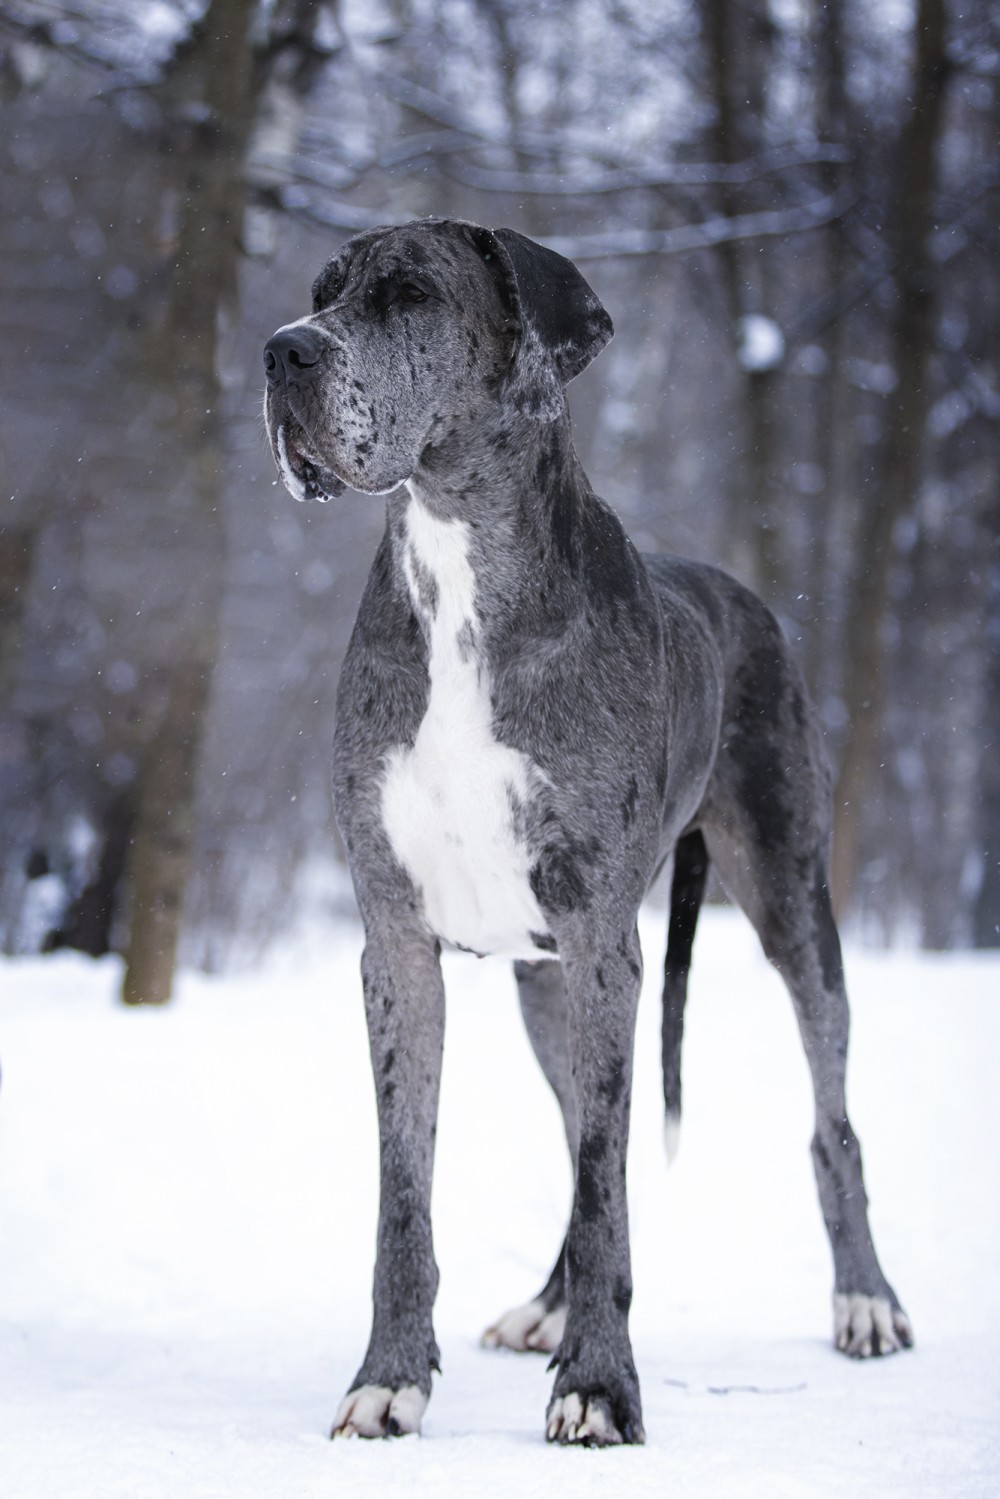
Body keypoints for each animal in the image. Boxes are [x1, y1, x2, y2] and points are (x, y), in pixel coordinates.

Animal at [262, 217, 912, 1447]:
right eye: (320, 290)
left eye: (409, 295)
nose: (282, 351)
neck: (458, 567)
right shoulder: (398, 945)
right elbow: (407, 1188)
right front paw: (391, 1375)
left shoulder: (610, 940)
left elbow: (609, 1177)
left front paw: (601, 1386)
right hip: (545, 981)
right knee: (577, 1136)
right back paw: (547, 1306)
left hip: (791, 903)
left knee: (832, 1119)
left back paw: (864, 1300)